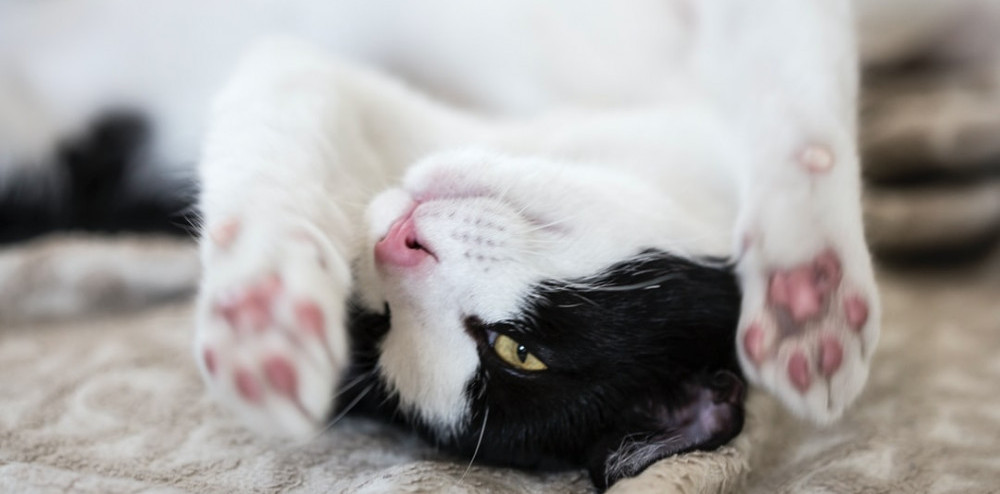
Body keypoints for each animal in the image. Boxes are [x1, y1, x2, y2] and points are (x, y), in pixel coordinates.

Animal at [5, 0, 992, 488]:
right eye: (377, 319)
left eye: (517, 351)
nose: (395, 242)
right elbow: (283, 86)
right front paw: (263, 305)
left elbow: (796, 79)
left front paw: (810, 289)